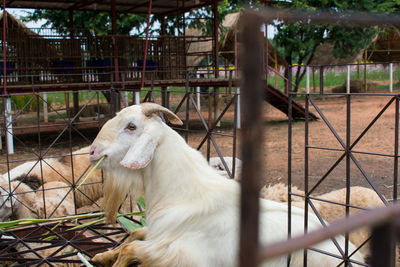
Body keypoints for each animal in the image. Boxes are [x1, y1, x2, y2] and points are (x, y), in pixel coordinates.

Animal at [89, 103, 364, 267]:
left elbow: (131, 247)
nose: (92, 152)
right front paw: (102, 255)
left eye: (131, 126)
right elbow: (133, 235)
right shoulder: (159, 234)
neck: (182, 194)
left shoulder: (184, 255)